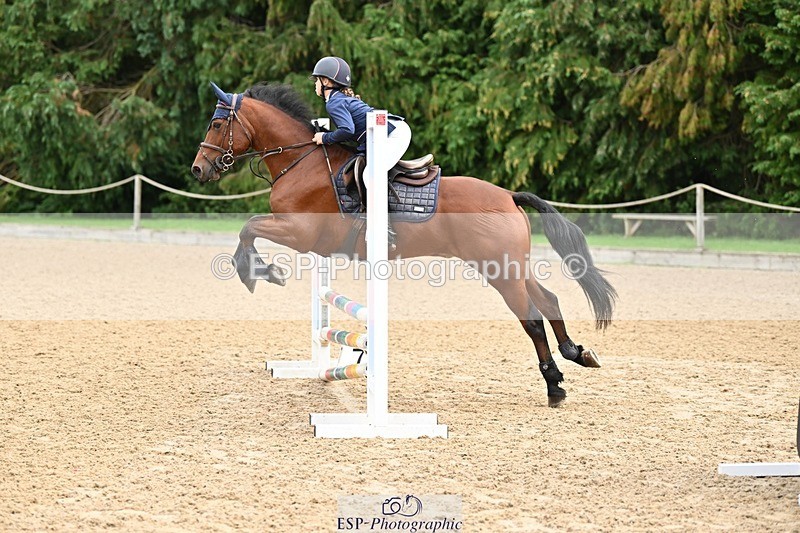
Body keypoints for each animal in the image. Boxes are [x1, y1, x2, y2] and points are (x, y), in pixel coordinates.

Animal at [191, 82, 617, 407]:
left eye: (216, 123)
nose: (198, 169)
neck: (302, 160)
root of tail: (509, 196)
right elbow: (249, 229)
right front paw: (260, 270)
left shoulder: (299, 231)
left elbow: (248, 228)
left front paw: (257, 272)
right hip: (511, 265)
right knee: (549, 301)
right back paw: (576, 357)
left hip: (499, 270)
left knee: (530, 318)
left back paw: (554, 384)